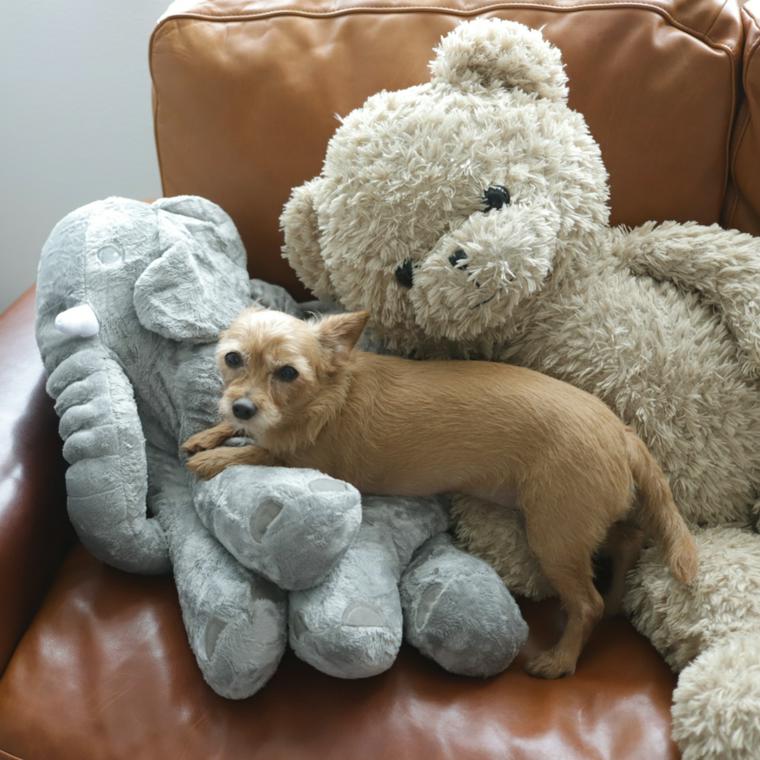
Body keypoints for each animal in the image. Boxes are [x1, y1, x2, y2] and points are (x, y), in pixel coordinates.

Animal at [183, 306, 696, 680]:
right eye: (233, 359)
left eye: (287, 373)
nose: (242, 405)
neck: (331, 391)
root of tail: (623, 433)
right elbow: (246, 434)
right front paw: (213, 433)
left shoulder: (308, 462)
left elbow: (260, 453)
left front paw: (216, 458)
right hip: (579, 524)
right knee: (628, 541)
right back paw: (616, 600)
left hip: (554, 535)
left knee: (585, 604)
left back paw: (561, 659)